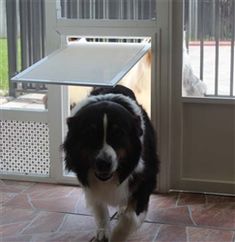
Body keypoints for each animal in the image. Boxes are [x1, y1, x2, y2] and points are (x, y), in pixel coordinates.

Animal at [63, 85, 160, 242]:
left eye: (118, 134)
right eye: (89, 134)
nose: (103, 163)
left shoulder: (147, 178)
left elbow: (130, 217)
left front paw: (117, 236)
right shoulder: (88, 181)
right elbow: (99, 204)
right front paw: (103, 231)